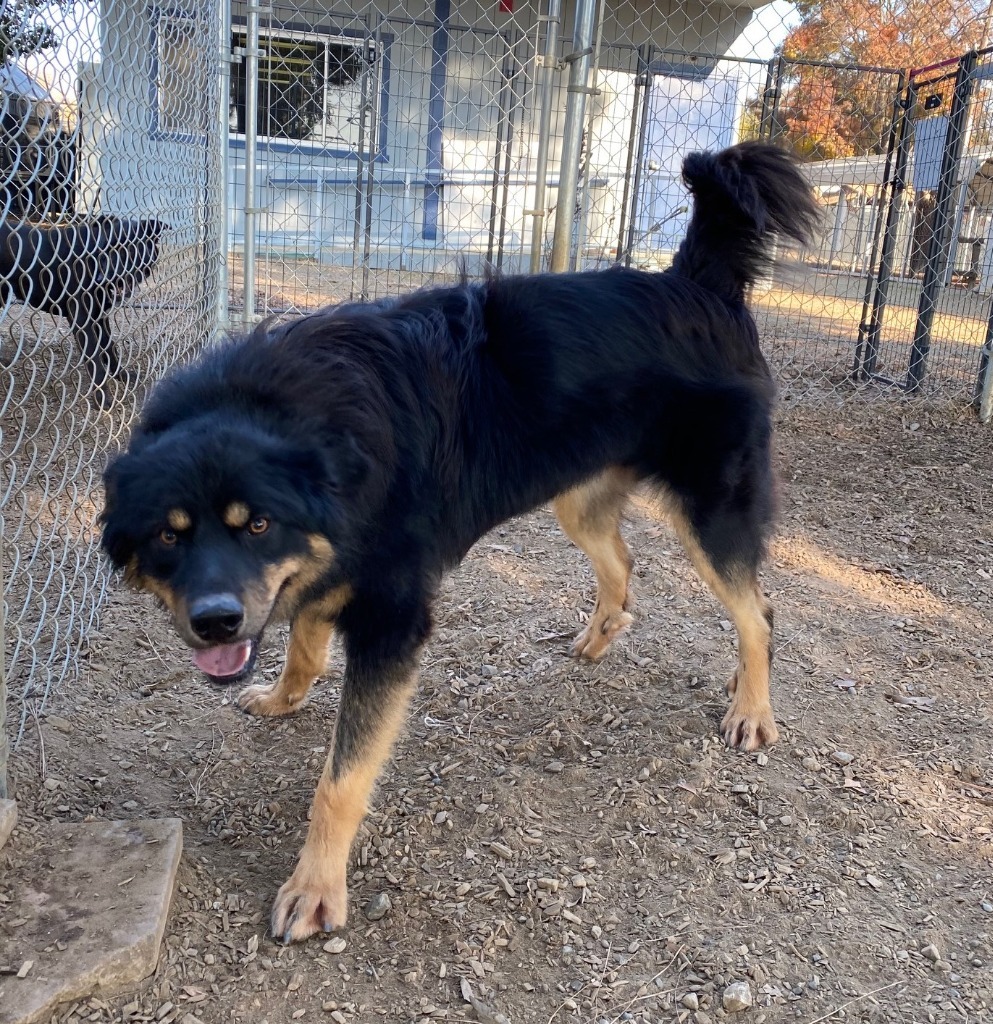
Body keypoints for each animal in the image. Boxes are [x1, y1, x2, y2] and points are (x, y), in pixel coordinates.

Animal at [100, 142, 814, 942]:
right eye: (169, 535)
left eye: (256, 524)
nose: (216, 622)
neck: (312, 428)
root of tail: (695, 284)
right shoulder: (328, 566)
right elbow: (305, 646)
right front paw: (285, 698)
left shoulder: (390, 617)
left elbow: (340, 779)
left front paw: (316, 889)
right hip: (578, 498)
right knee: (624, 563)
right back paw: (600, 638)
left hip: (710, 512)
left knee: (758, 614)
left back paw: (751, 711)